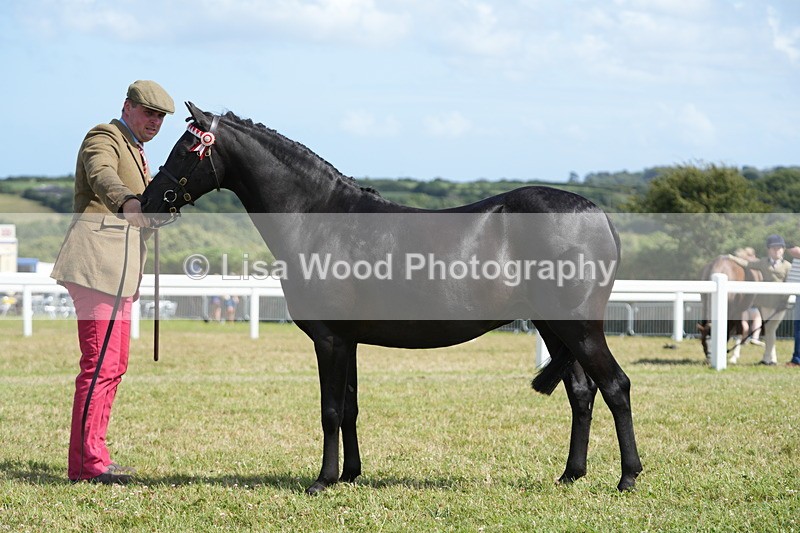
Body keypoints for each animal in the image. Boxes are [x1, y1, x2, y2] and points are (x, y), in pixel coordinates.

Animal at [139, 102, 642, 493]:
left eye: (184, 150)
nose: (147, 202)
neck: (318, 219)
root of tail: (599, 215)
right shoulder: (349, 340)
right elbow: (350, 408)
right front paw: (350, 474)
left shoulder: (329, 339)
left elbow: (329, 410)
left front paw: (322, 480)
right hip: (555, 328)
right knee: (582, 392)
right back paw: (570, 474)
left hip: (579, 328)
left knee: (616, 386)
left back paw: (628, 477)